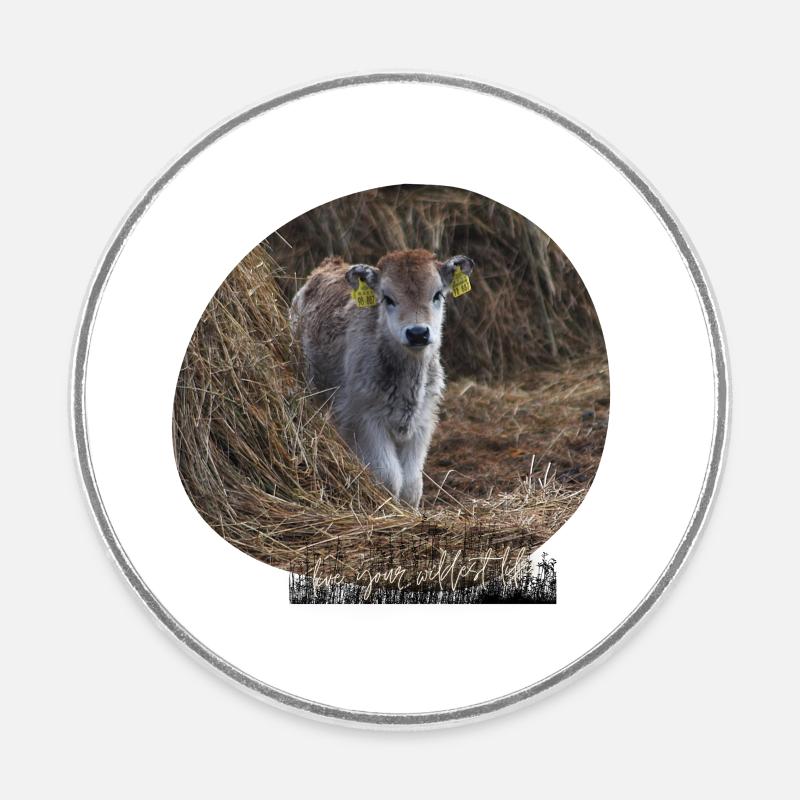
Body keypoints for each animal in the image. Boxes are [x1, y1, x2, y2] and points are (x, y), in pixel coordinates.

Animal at [290, 248, 475, 507]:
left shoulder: (423, 421)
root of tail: (328, 265)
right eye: (387, 298)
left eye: (437, 294)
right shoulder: (364, 420)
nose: (417, 333)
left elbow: (411, 485)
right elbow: (389, 477)